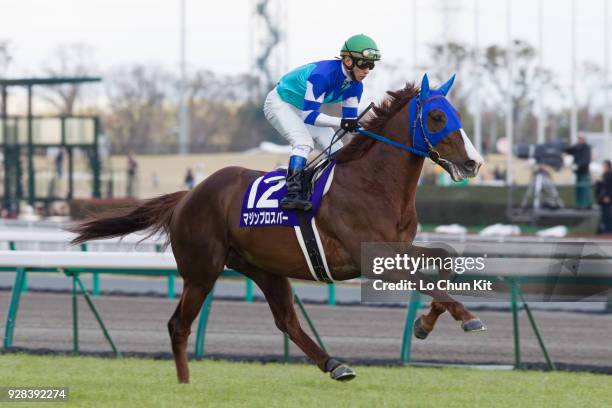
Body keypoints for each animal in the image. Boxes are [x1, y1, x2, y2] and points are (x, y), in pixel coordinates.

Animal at [69, 75, 486, 384]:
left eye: (454, 113)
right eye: (436, 117)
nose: (473, 162)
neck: (372, 183)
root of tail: (190, 194)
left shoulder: (399, 247)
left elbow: (446, 260)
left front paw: (425, 324)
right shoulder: (373, 259)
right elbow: (430, 279)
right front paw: (466, 316)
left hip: (264, 269)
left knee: (286, 320)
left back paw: (335, 364)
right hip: (202, 271)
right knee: (178, 325)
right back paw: (184, 383)